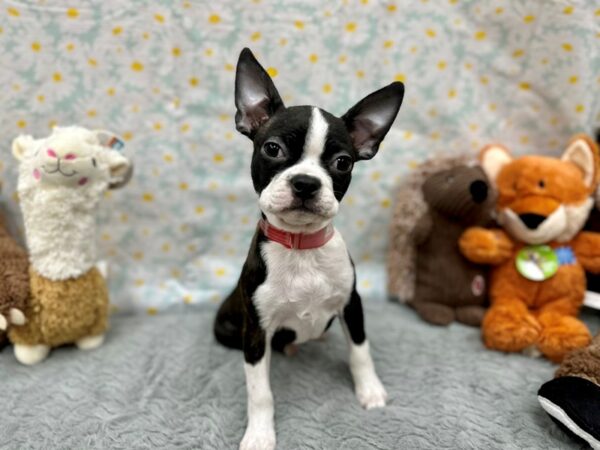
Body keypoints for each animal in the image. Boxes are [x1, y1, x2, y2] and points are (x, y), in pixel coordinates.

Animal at [213, 49, 406, 450]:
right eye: (272, 149)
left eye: (342, 162)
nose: (305, 182)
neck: (301, 249)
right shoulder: (256, 331)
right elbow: (260, 392)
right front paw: (259, 435)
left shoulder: (352, 303)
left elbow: (360, 351)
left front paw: (370, 391)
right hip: (226, 327)